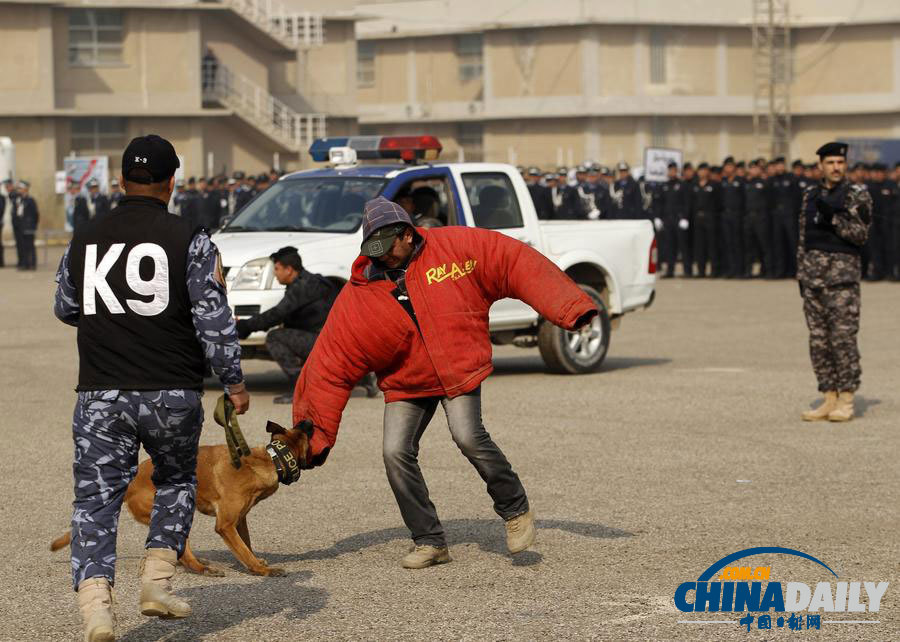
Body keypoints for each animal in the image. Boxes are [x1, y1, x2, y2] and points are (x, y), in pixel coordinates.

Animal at [50, 420, 310, 576]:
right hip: (174, 511)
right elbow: (243, 549)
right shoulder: (225, 524)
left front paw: (255, 563)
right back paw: (200, 567)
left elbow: (245, 545)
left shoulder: (239, 520)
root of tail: (131, 481)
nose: (309, 422)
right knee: (184, 550)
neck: (270, 459)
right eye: (305, 435)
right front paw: (262, 570)